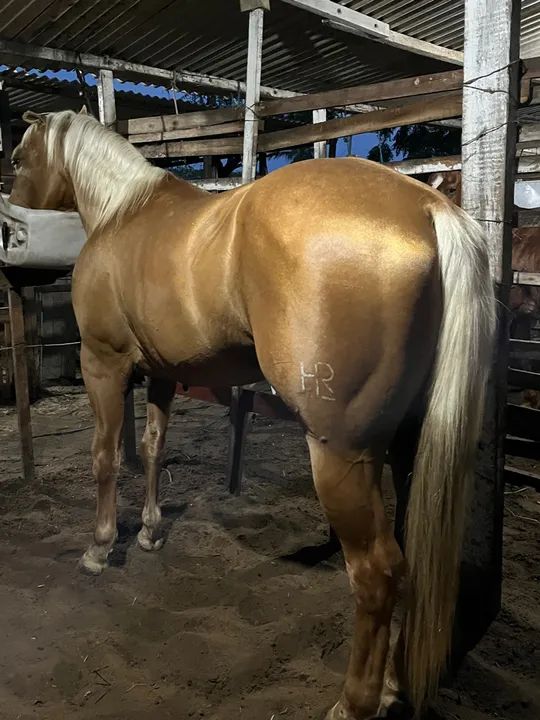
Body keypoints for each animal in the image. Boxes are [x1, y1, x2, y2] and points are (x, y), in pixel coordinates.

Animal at [9, 108, 495, 720]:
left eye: (18, 158)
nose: (16, 265)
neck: (123, 211)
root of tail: (428, 209)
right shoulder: (163, 374)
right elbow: (151, 448)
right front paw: (149, 532)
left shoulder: (103, 363)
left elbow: (104, 457)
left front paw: (99, 549)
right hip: (409, 446)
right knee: (412, 558)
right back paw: (392, 685)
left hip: (342, 456)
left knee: (377, 572)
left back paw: (354, 702)